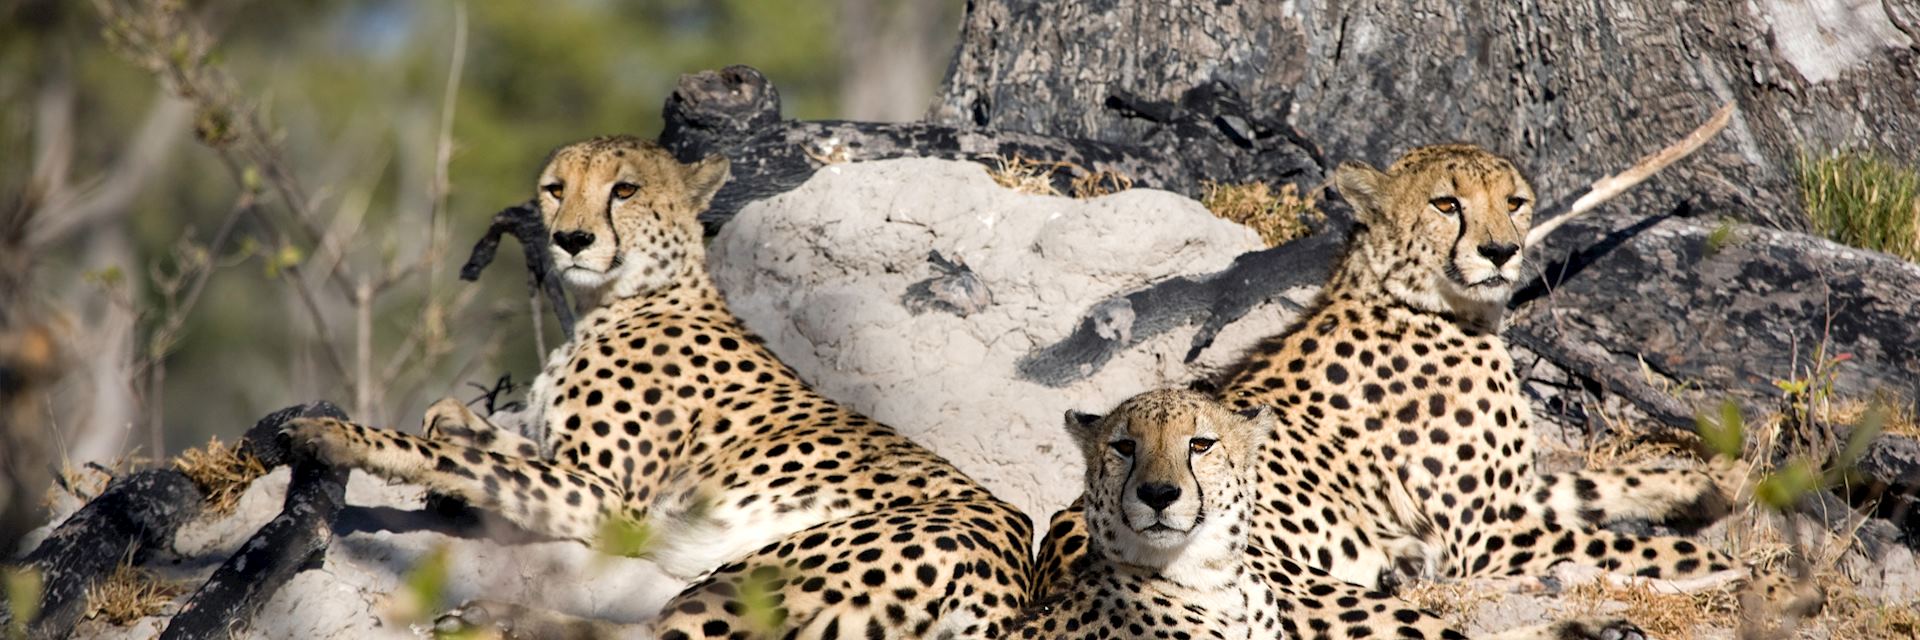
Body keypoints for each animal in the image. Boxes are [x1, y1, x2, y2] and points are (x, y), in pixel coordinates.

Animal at [280, 135, 1036, 638]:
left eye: (625, 190)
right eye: (556, 188)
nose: (572, 240)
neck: (617, 300)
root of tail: (1012, 574)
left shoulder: (611, 500)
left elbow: (457, 456)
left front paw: (339, 435)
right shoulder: (564, 460)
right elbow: (468, 433)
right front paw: (447, 440)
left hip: (767, 571)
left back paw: (499, 616)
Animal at [1044, 144, 1735, 638]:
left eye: (1515, 201)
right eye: (1446, 204)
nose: (1501, 251)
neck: (1416, 298)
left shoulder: (1509, 502)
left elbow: (1588, 485)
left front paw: (1697, 484)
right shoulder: (1485, 534)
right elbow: (1646, 546)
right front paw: (1740, 571)